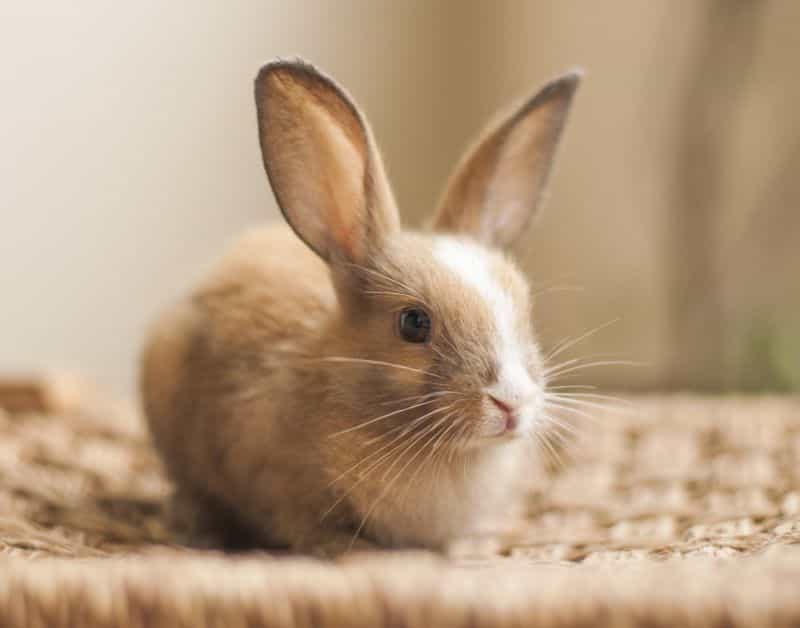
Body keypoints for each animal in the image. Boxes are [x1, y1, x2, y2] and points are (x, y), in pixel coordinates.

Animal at [141, 58, 580, 557]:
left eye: (524, 309)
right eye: (413, 323)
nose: (511, 402)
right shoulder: (277, 487)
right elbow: (305, 528)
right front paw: (354, 550)